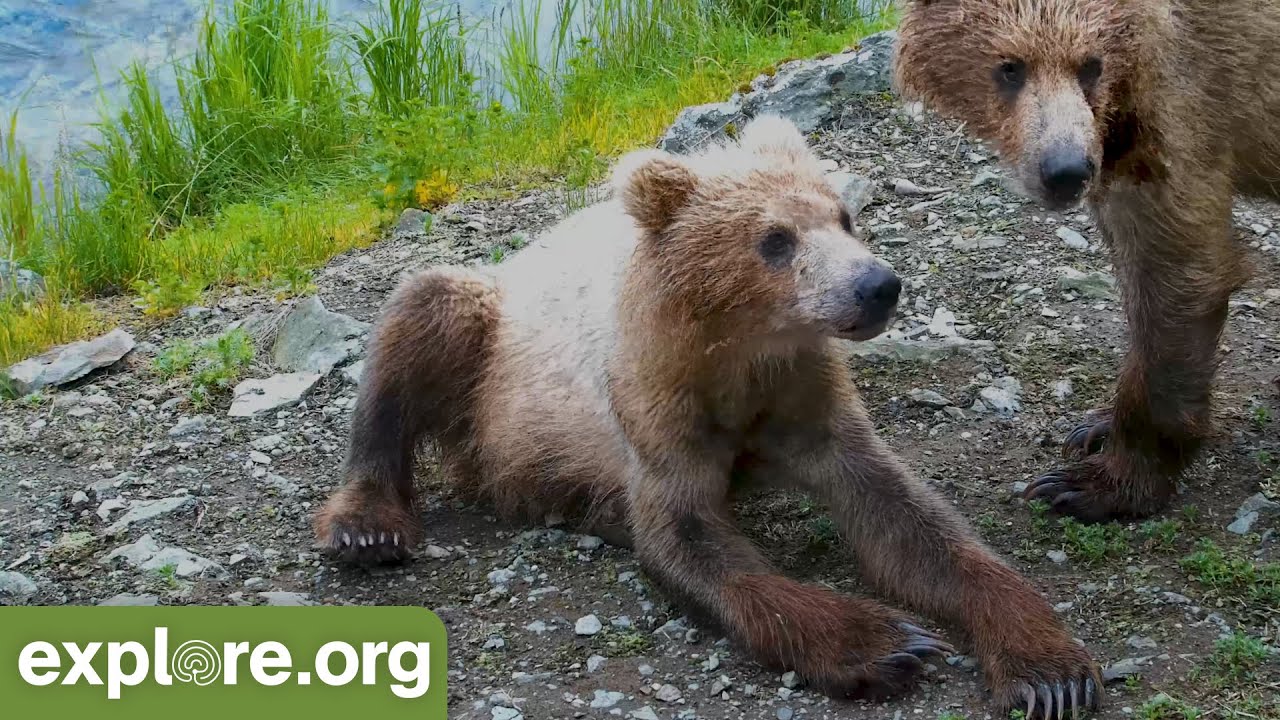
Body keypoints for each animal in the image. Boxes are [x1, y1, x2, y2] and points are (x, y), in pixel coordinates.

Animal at [314, 116, 1100, 717]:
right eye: (776, 239)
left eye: (845, 217)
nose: (877, 285)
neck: (739, 356)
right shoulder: (659, 407)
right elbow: (691, 538)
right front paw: (886, 643)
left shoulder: (803, 399)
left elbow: (908, 523)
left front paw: (1048, 668)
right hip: (492, 349)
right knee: (419, 320)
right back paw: (367, 525)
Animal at [893, 0, 1280, 522]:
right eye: (1011, 66)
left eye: (1090, 65)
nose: (1067, 171)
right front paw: (1095, 426)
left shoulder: (1187, 105)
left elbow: (1178, 278)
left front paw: (1096, 483)